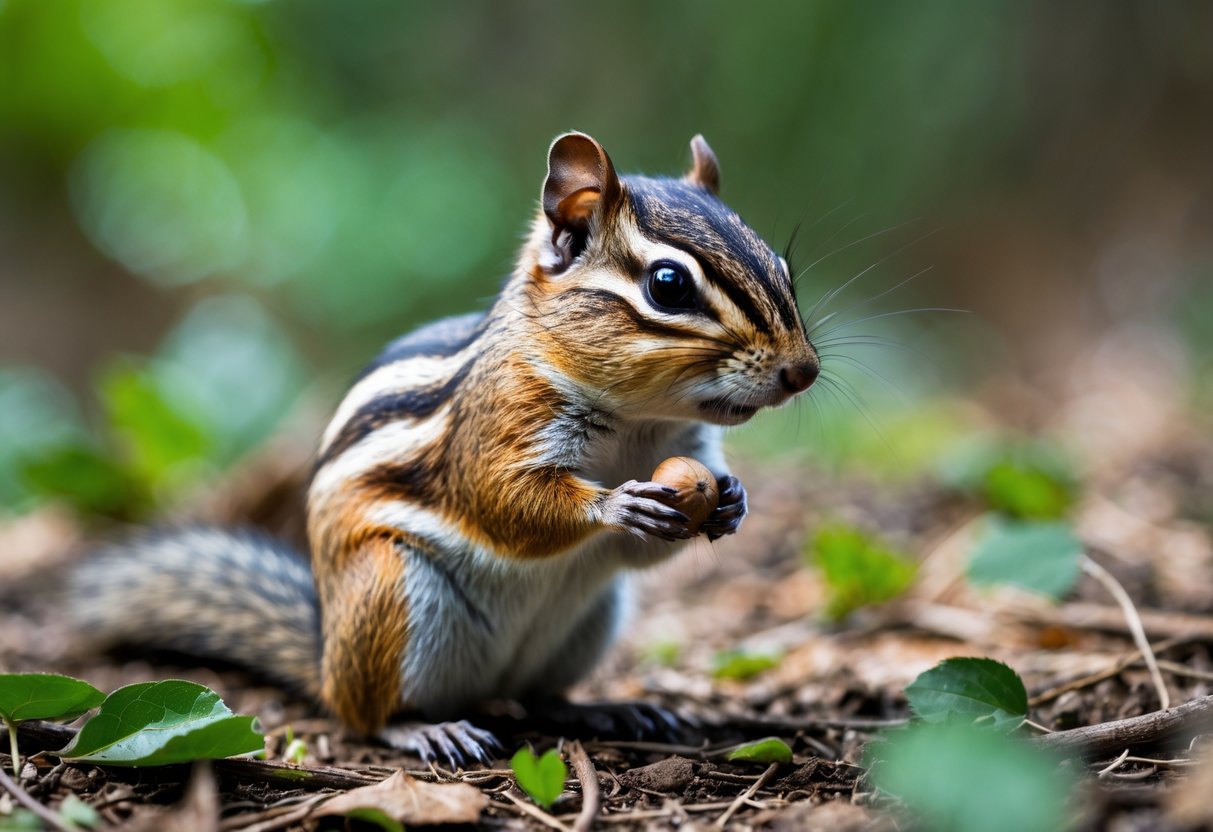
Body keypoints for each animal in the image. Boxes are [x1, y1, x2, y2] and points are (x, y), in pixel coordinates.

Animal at [68, 132, 820, 765]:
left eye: (782, 267)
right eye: (668, 285)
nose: (803, 372)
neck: (642, 422)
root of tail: (326, 661)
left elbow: (643, 545)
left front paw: (731, 501)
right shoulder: (490, 430)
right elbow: (502, 503)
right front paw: (615, 506)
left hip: (590, 619)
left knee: (536, 696)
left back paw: (604, 710)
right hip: (390, 591)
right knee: (366, 716)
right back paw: (427, 728)